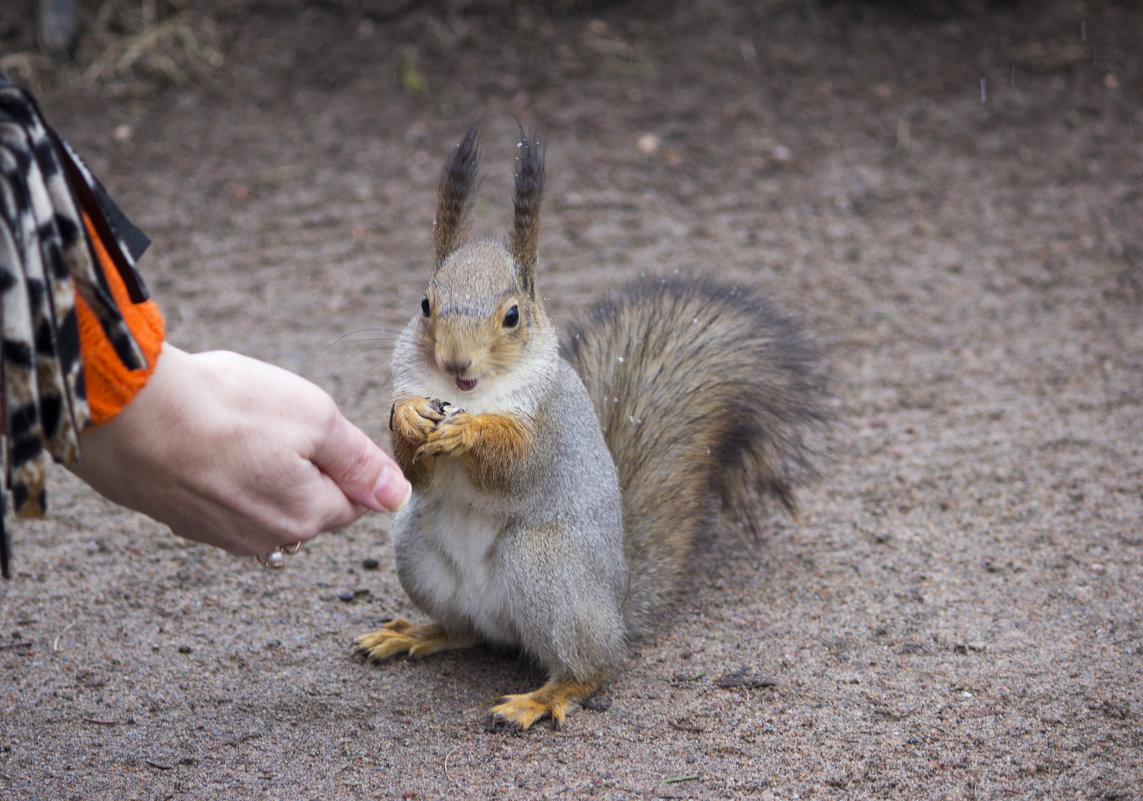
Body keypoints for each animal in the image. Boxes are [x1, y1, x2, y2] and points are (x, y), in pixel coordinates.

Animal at [356, 121, 822, 726]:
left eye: (512, 316)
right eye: (425, 304)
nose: (456, 363)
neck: (469, 394)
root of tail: (616, 608)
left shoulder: (550, 424)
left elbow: (515, 465)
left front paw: (472, 433)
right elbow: (417, 471)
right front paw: (411, 417)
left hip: (546, 568)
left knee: (593, 669)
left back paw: (541, 698)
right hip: (418, 550)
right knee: (466, 631)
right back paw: (417, 632)